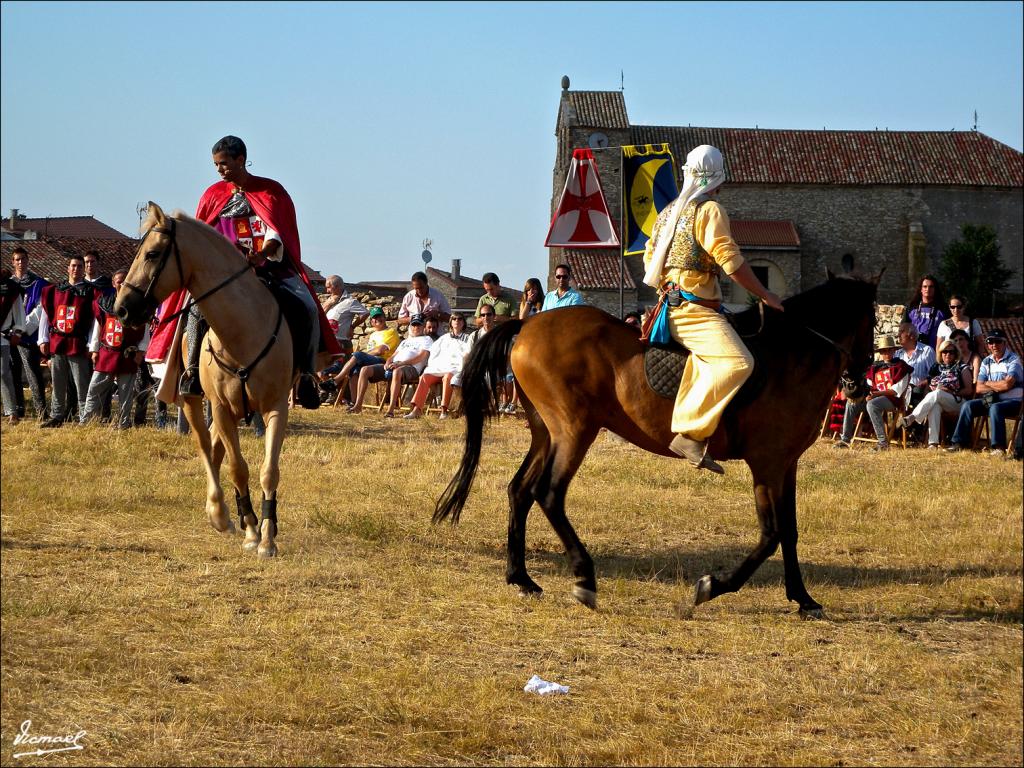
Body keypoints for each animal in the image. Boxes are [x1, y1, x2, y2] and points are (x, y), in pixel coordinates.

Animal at [115, 201, 296, 557]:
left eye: (152, 254)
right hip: (192, 398)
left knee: (214, 448)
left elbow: (269, 471)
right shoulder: (223, 408)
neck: (242, 331)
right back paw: (220, 512)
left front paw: (267, 537)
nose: (122, 309)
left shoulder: (276, 407)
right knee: (204, 446)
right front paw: (251, 530)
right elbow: (237, 468)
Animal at [434, 272, 880, 618]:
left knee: (520, 490)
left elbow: (789, 530)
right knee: (549, 493)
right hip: (575, 431)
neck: (792, 355)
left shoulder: (786, 464)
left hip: (548, 432)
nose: (858, 386)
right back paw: (584, 577)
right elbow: (771, 534)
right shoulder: (767, 464)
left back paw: (522, 578)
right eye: (873, 322)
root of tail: (527, 326)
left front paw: (803, 598)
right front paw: (712, 586)